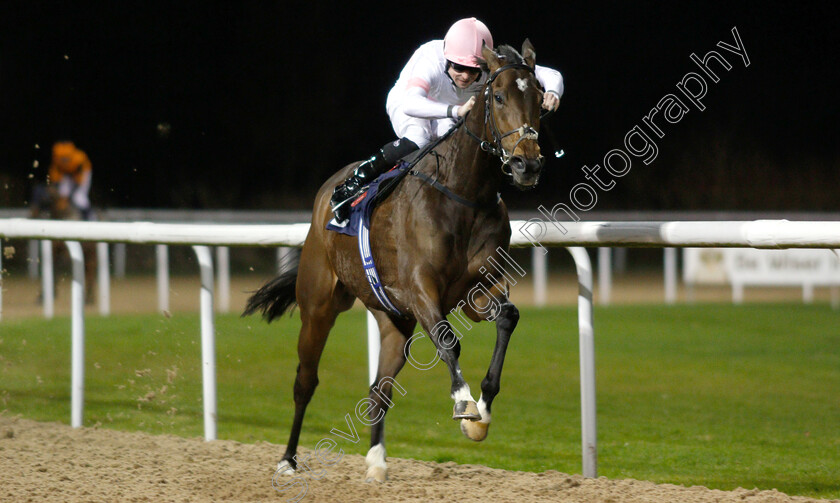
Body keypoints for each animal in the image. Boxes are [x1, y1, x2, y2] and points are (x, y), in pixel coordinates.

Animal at [244, 40, 544, 484]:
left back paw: (376, 461)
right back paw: (288, 460)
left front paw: (484, 408)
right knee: (305, 381)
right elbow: (448, 341)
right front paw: (464, 405)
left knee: (378, 389)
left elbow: (508, 317)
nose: (528, 164)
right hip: (318, 307)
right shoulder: (420, 289)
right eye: (500, 96)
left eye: (539, 99)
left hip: (394, 322)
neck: (464, 194)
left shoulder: (476, 292)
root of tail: (325, 193)